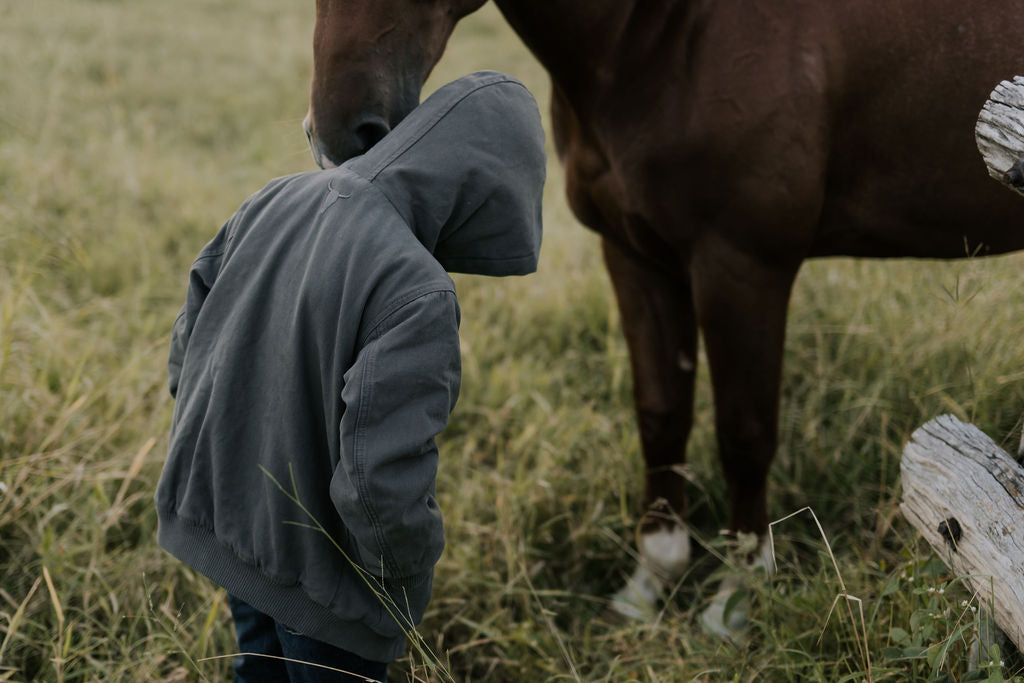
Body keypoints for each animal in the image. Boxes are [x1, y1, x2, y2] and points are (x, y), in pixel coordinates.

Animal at [301, 0, 1024, 626]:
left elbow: (743, 430)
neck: (663, 33)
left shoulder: (742, 265)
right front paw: (652, 579)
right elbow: (661, 412)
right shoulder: (634, 255)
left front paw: (736, 596)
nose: (341, 130)